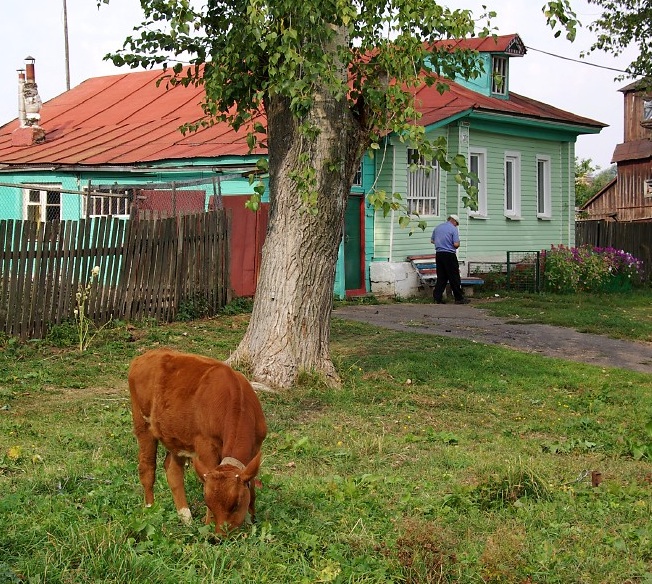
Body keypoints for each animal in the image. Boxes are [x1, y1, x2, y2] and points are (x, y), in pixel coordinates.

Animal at [129, 350, 266, 536]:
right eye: (207, 502)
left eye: (236, 504)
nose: (220, 537)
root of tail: (145, 355)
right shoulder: (205, 445)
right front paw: (207, 525)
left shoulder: (256, 447)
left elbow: (251, 486)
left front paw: (252, 519)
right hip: (142, 423)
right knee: (147, 467)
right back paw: (150, 508)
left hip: (175, 435)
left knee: (172, 471)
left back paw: (185, 517)